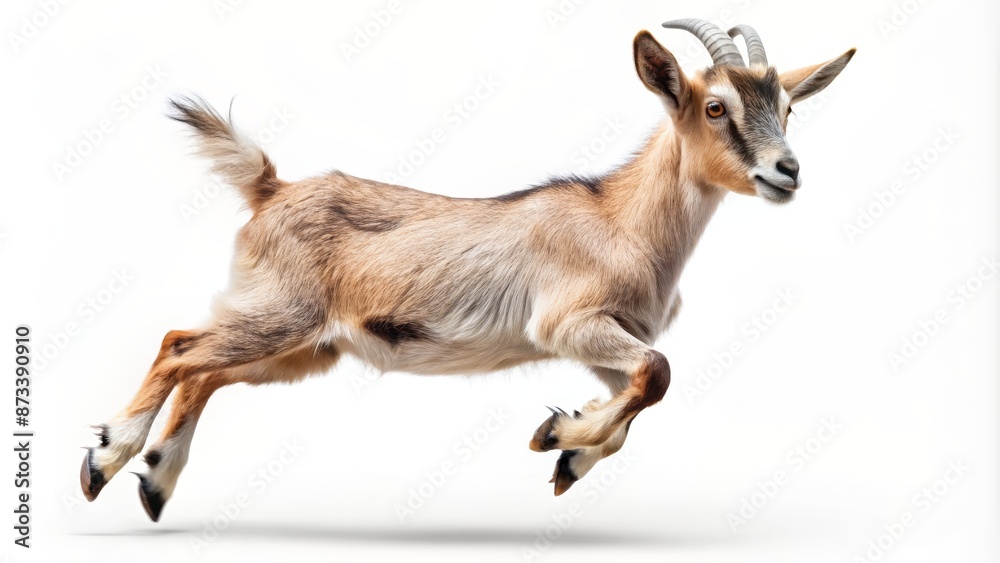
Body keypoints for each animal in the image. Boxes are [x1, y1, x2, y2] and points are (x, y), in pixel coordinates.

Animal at [80, 18, 854, 521]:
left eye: (788, 107)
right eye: (716, 106)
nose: (786, 171)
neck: (620, 220)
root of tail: (270, 188)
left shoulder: (605, 344)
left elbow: (637, 398)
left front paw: (567, 450)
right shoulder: (567, 323)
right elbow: (658, 374)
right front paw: (557, 439)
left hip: (306, 348)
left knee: (203, 370)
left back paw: (155, 483)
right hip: (283, 316)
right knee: (179, 345)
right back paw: (106, 460)